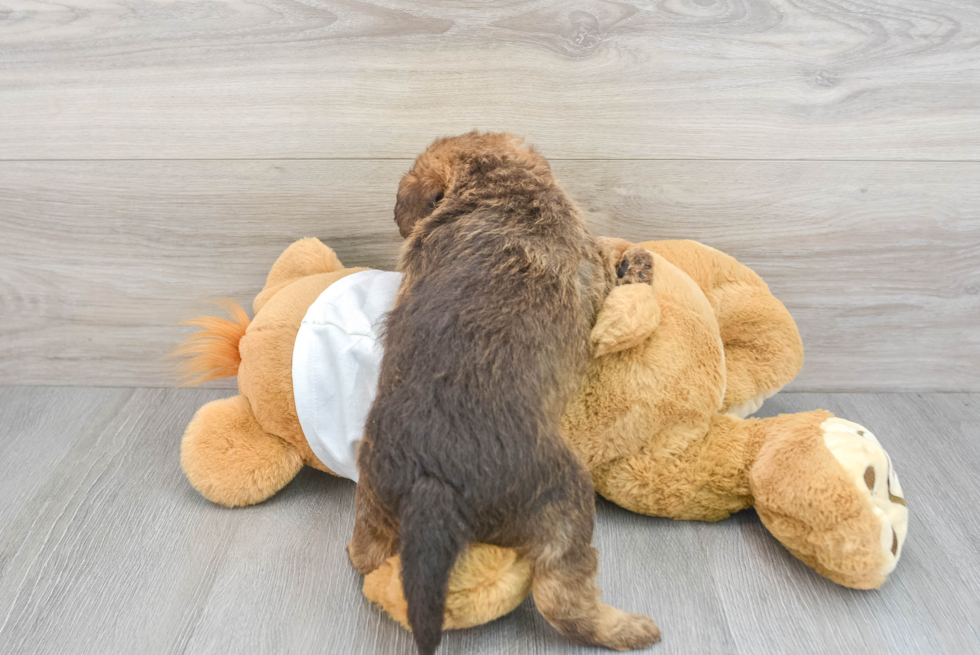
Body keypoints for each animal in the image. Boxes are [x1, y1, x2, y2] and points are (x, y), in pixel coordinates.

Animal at [348, 133, 664, 655]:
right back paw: (628, 628)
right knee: (560, 598)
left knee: (366, 553)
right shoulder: (592, 265)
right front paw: (637, 262)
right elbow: (607, 252)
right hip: (564, 501)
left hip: (374, 494)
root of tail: (432, 477)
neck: (496, 185)